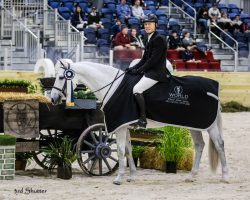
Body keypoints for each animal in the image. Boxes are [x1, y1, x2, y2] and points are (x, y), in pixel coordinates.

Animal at [50, 60, 229, 184]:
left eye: (61, 77)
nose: (53, 99)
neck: (113, 86)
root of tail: (214, 87)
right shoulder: (125, 125)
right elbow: (128, 150)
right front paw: (132, 176)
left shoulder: (120, 127)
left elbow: (119, 150)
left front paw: (119, 178)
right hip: (194, 125)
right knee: (199, 146)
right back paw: (192, 176)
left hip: (210, 126)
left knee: (220, 144)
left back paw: (225, 177)